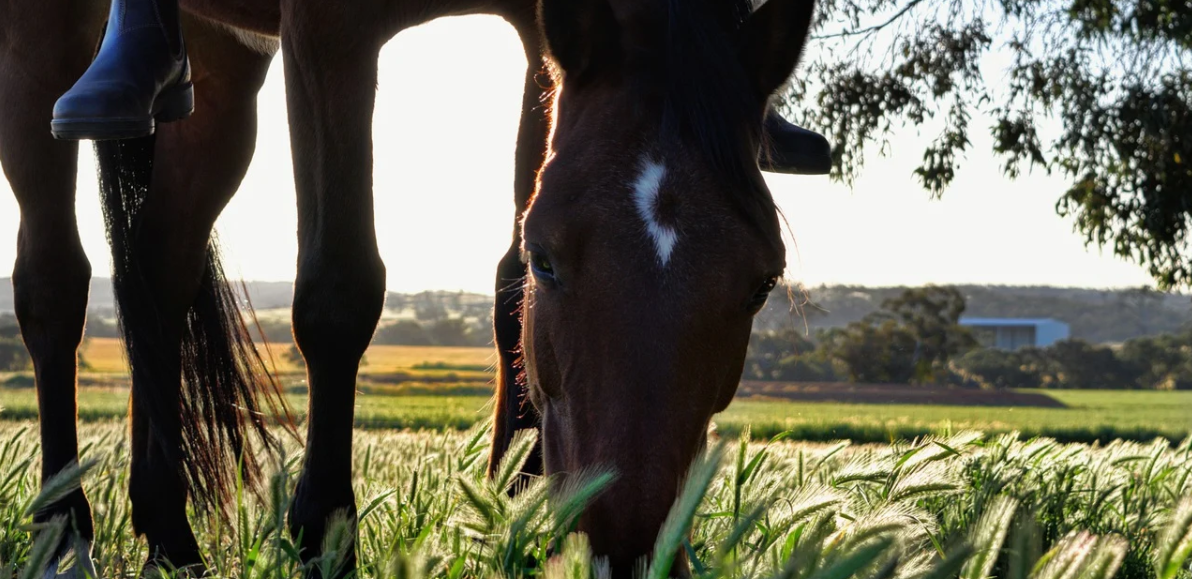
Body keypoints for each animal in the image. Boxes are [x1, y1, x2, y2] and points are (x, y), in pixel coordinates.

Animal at [0, 0, 821, 576]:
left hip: (222, 64)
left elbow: (505, 288)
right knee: (54, 284)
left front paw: (515, 516)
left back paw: (168, 537)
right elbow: (339, 290)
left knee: (158, 267)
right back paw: (62, 535)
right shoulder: (328, 29)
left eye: (762, 282)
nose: (627, 547)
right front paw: (323, 540)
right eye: (551, 259)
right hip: (43, 37)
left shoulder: (540, 41)